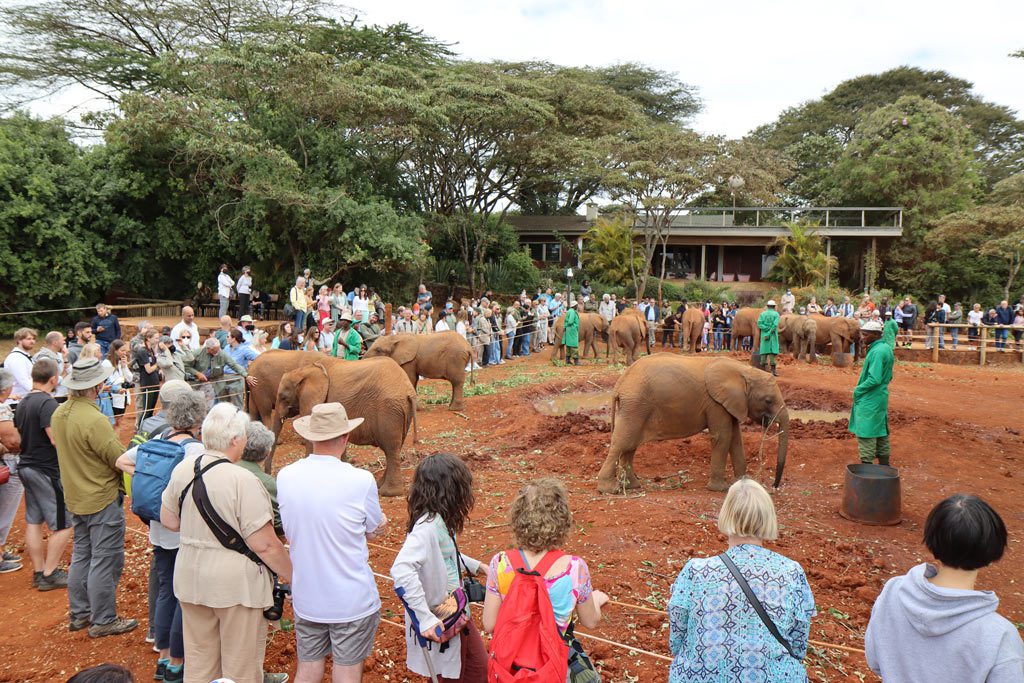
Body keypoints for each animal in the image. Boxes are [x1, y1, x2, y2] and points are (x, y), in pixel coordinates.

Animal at [274, 358, 417, 497]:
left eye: (283, 397)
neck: (303, 371)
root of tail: (408, 391)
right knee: (394, 448)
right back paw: (380, 485)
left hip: (389, 411)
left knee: (391, 448)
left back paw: (388, 492)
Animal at [593, 356, 790, 493]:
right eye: (768, 401)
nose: (775, 486)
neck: (744, 371)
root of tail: (620, 382)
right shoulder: (715, 403)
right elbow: (722, 437)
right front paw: (720, 489)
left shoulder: (730, 404)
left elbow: (735, 439)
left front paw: (743, 483)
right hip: (635, 406)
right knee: (622, 443)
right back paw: (609, 490)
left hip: (634, 408)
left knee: (630, 445)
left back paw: (633, 486)